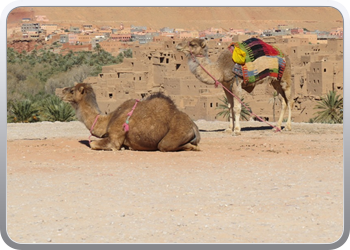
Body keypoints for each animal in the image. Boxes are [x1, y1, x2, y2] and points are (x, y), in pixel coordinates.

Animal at [59, 83, 200, 151]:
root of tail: (194, 126)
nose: (61, 91)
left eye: (72, 91)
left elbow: (93, 144)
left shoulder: (115, 138)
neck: (108, 120)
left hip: (175, 134)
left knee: (165, 145)